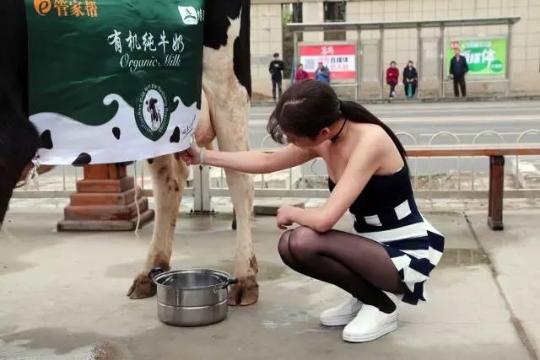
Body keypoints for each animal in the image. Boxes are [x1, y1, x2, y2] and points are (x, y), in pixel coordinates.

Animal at [1, 0, 260, 306]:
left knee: (240, 178)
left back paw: (244, 276)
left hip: (226, 78)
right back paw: (151, 270)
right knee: (170, 182)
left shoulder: (10, 138)